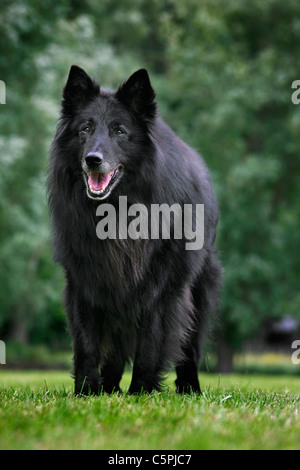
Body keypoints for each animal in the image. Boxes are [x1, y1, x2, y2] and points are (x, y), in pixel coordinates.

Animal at [48, 65, 223, 392]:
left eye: (119, 131)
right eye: (85, 129)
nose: (93, 160)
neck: (118, 212)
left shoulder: (161, 288)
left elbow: (150, 345)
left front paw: (141, 391)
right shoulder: (85, 280)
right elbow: (87, 344)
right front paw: (87, 392)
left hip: (199, 288)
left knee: (189, 346)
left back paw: (189, 388)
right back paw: (109, 388)